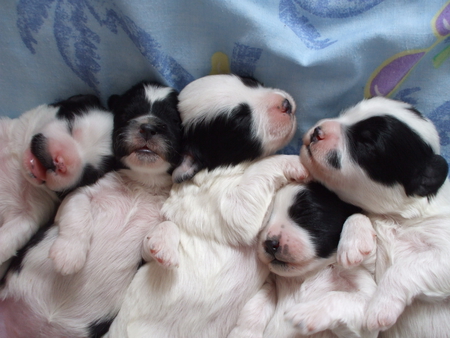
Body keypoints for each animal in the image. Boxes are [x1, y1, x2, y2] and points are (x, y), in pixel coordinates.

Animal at [0, 95, 118, 270]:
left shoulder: (27, 216)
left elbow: (8, 238)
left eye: (88, 174)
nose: (61, 163)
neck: (20, 171)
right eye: (70, 123)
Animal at [105, 74, 308, 338]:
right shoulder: (231, 208)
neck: (218, 166)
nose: (285, 104)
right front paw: (295, 162)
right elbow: (261, 169)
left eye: (252, 81)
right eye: (240, 120)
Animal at [229, 182, 376, 338]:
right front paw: (242, 333)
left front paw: (307, 312)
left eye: (306, 212)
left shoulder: (367, 314)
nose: (269, 244)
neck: (307, 274)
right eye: (266, 219)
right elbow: (256, 305)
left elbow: (343, 298)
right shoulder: (272, 283)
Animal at [298, 96, 450, 338]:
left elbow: (404, 268)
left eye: (366, 144)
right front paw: (352, 245)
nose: (317, 132)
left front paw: (380, 306)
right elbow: (357, 215)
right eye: (344, 113)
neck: (397, 217)